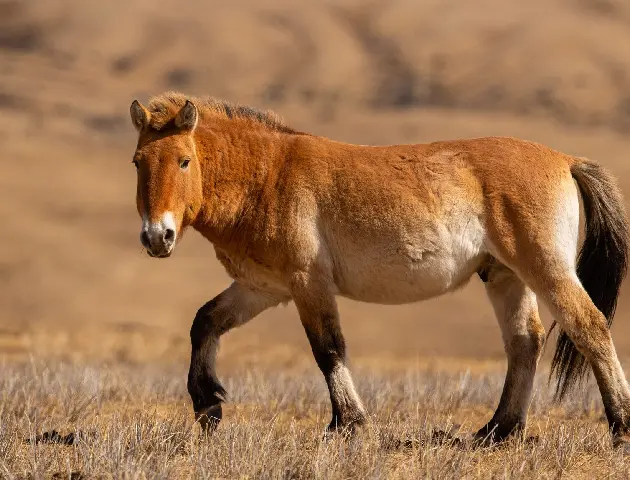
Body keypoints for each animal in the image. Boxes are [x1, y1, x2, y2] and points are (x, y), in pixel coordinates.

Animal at [128, 93, 630, 446]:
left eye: (184, 160)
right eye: (137, 162)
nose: (157, 237)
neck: (268, 175)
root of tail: (566, 160)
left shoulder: (308, 284)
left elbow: (328, 349)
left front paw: (348, 424)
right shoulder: (262, 288)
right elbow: (204, 322)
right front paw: (207, 405)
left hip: (545, 268)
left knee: (588, 327)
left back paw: (620, 426)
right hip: (505, 276)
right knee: (525, 341)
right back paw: (496, 431)